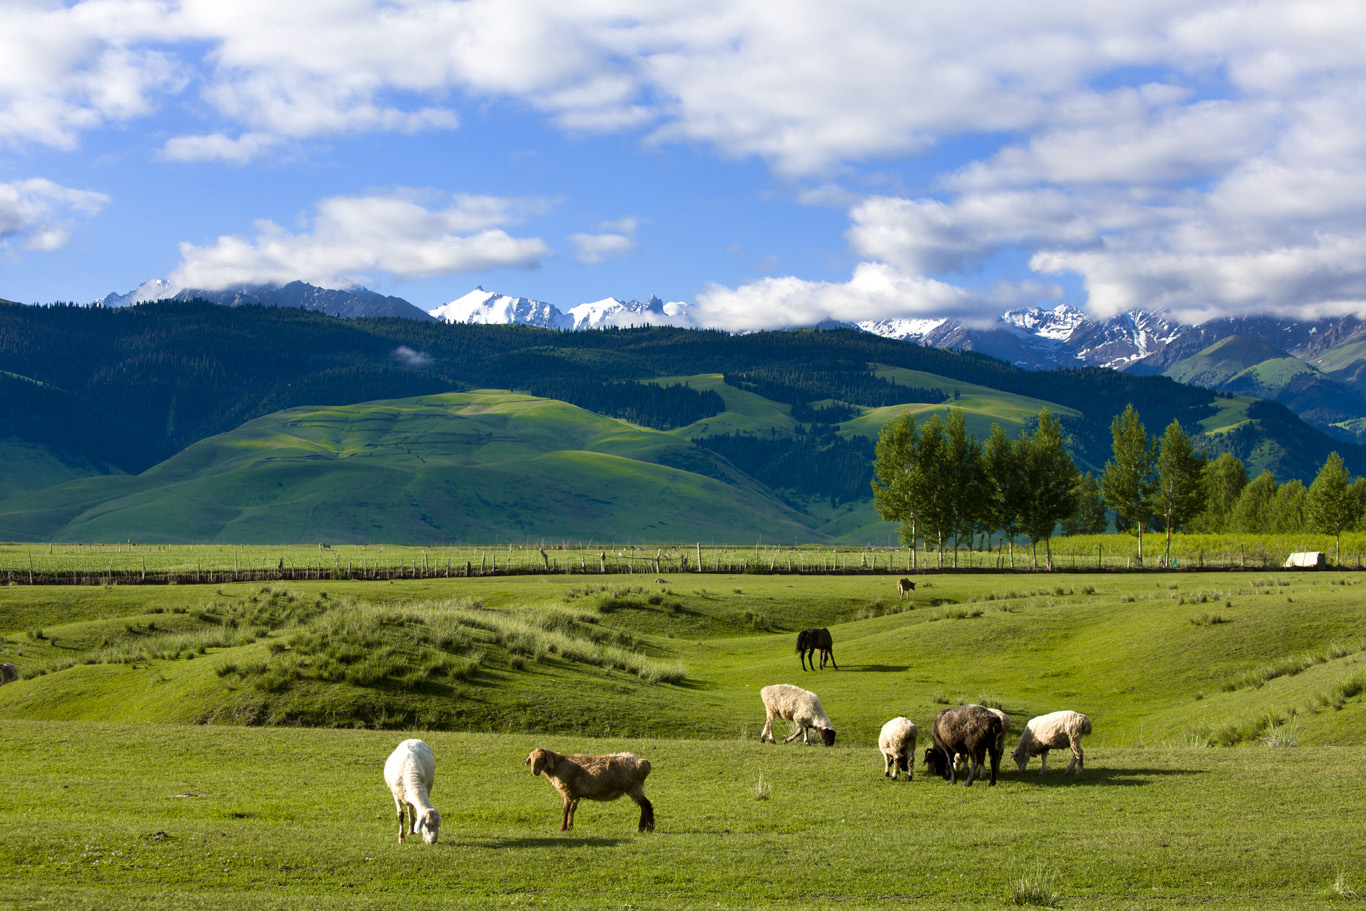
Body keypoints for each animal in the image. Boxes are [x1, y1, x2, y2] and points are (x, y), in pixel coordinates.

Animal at [524, 748, 652, 835]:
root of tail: (643, 763)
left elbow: (565, 809)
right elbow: (572, 809)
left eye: (541, 758)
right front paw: (570, 827)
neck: (558, 766)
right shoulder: (575, 794)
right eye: (531, 758)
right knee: (643, 805)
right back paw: (643, 828)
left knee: (646, 805)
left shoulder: (567, 791)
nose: (534, 771)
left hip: (634, 787)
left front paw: (562, 829)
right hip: (635, 787)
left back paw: (647, 827)